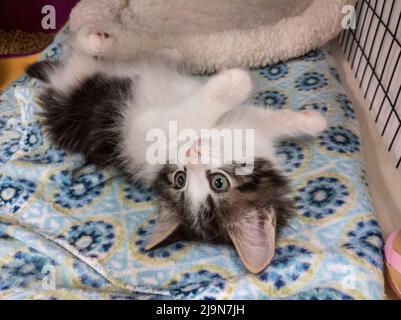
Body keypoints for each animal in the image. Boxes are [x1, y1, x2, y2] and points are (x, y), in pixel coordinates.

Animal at [26, 31, 324, 272]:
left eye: (218, 183)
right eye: (181, 179)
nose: (192, 155)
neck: (224, 135)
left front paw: (309, 120)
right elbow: (208, 116)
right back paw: (111, 42)